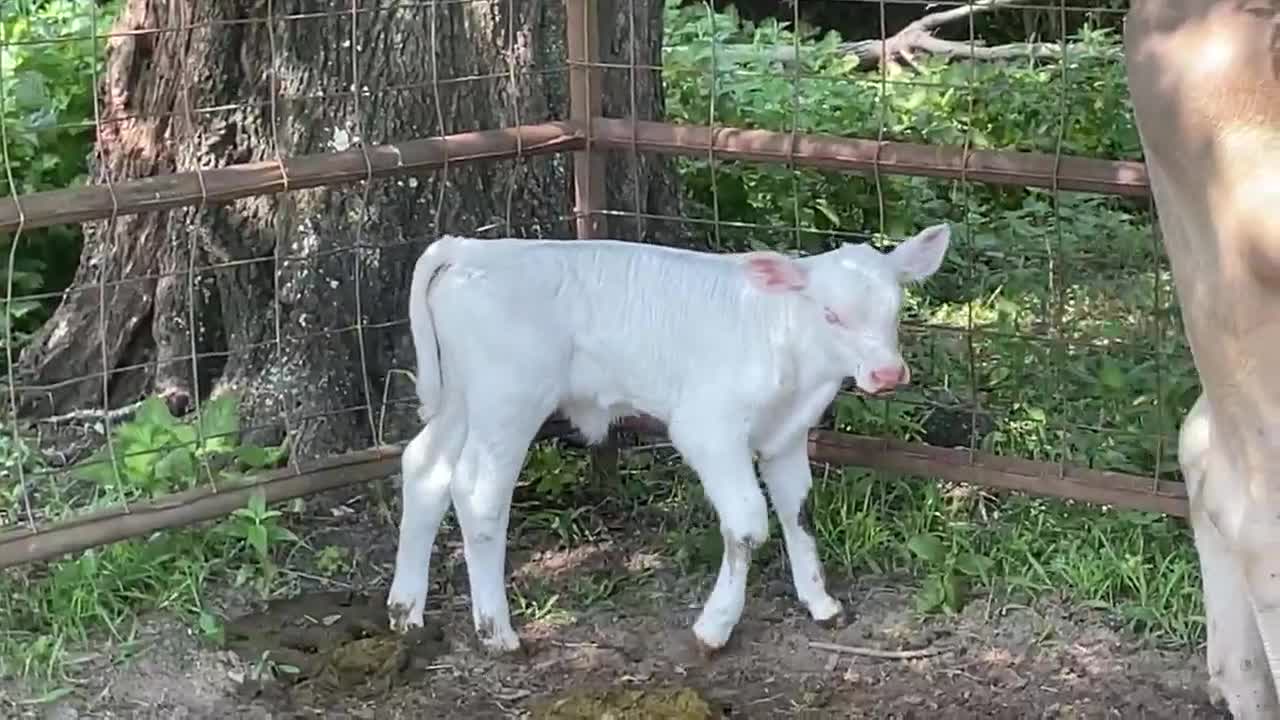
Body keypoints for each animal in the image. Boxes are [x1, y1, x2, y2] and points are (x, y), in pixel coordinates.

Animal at [384, 226, 957, 653]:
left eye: (895, 310)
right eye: (831, 313)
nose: (887, 373)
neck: (789, 349)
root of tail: (471, 248)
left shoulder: (787, 436)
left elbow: (798, 511)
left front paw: (820, 604)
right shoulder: (708, 427)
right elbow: (748, 524)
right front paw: (715, 626)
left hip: (462, 397)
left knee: (424, 468)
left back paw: (405, 610)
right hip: (507, 399)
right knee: (477, 492)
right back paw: (497, 632)